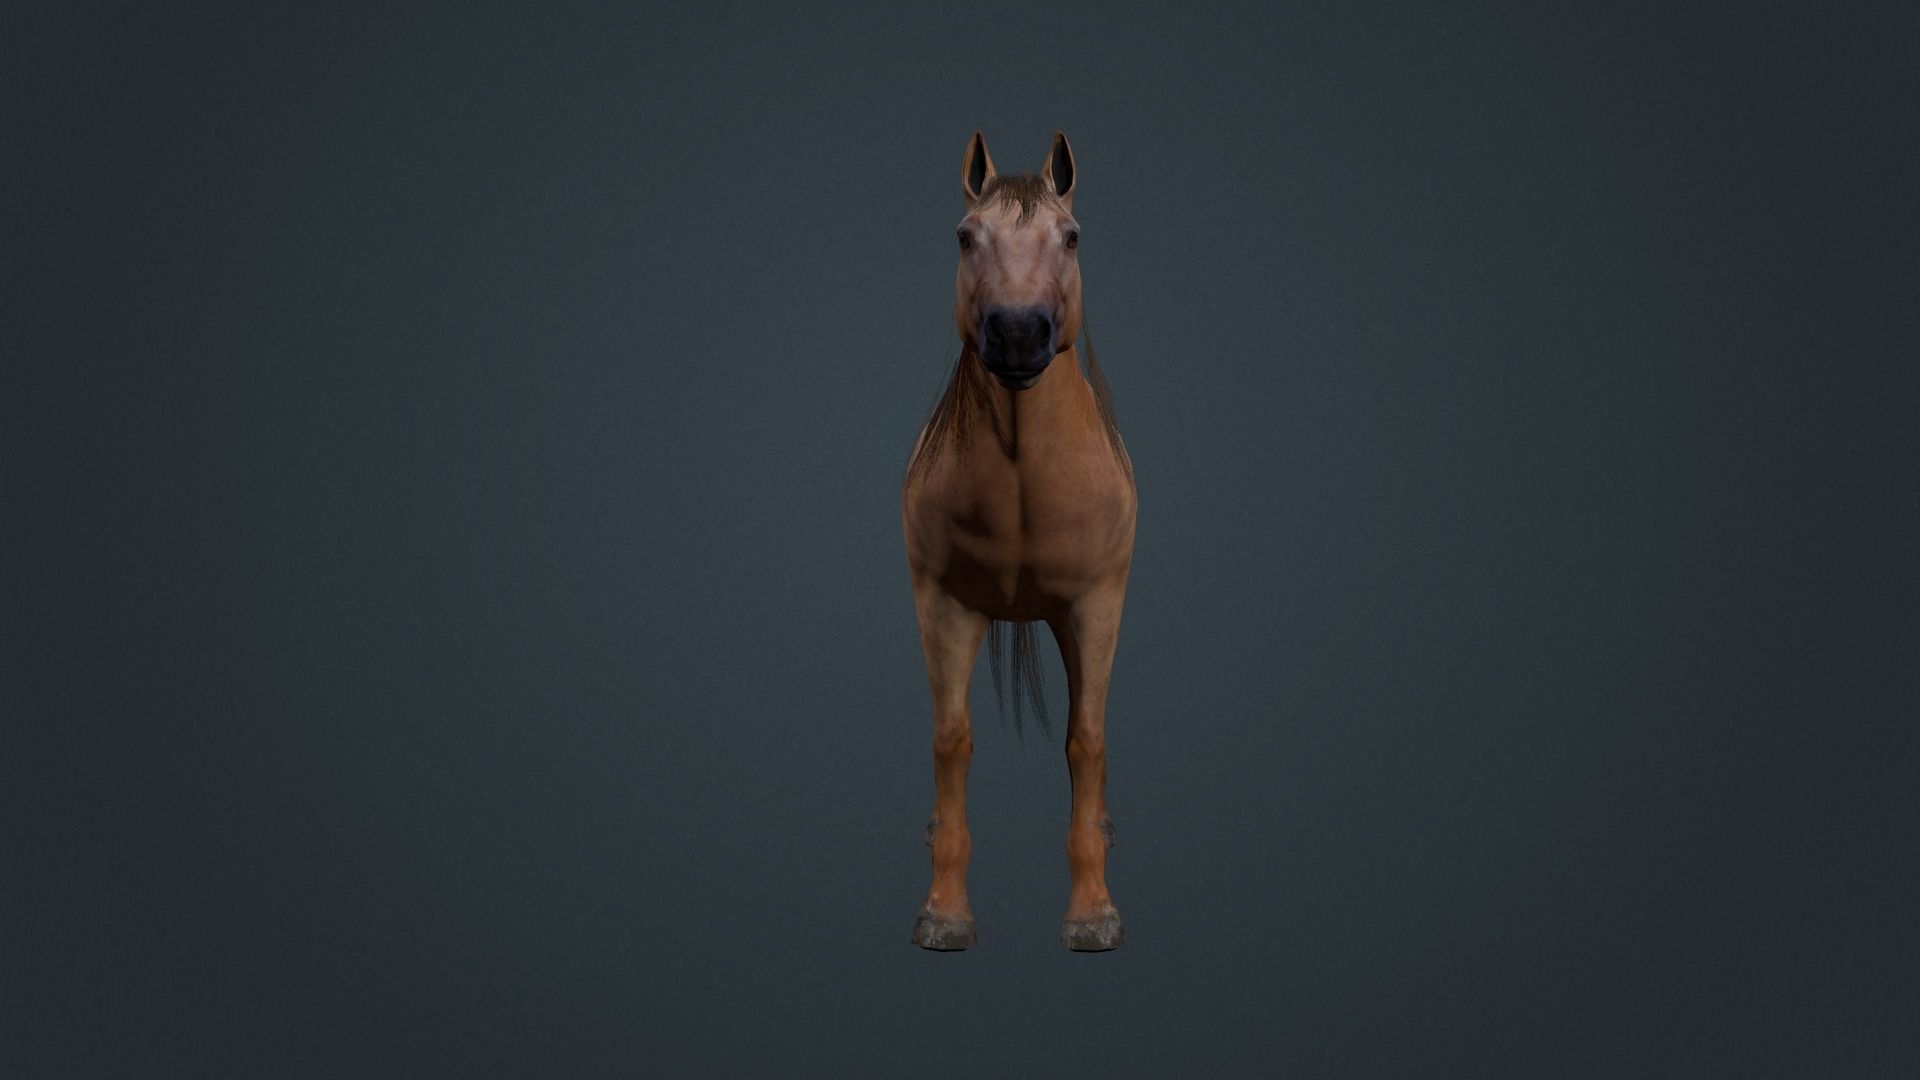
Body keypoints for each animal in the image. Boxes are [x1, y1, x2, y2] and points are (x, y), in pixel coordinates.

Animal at [900, 129, 1137, 951]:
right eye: (965, 236)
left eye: (1071, 236)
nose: (1015, 333)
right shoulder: (944, 606)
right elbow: (951, 741)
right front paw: (943, 913)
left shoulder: (1094, 607)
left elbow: (1086, 743)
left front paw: (1093, 914)